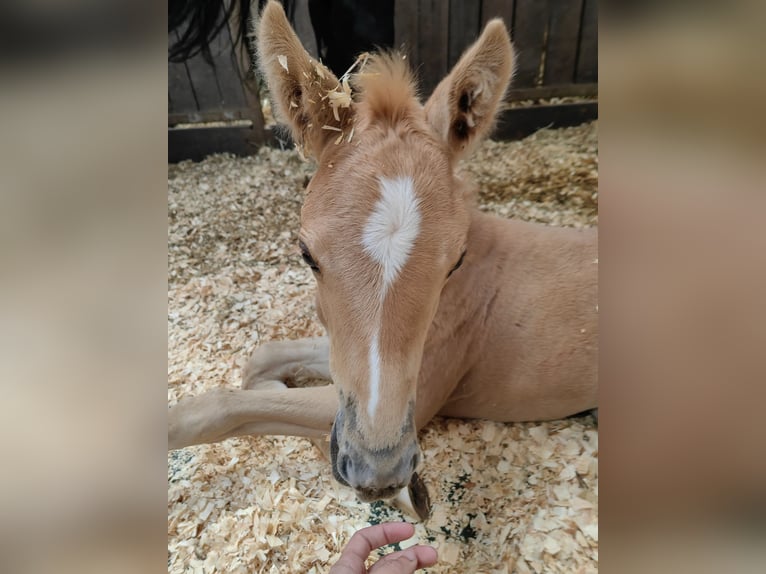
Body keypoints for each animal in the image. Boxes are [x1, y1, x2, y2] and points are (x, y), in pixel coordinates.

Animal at [168, 0, 598, 510]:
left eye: (455, 261)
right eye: (307, 254)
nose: (379, 471)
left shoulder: (414, 397)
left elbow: (221, 407)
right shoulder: (337, 352)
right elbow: (262, 358)